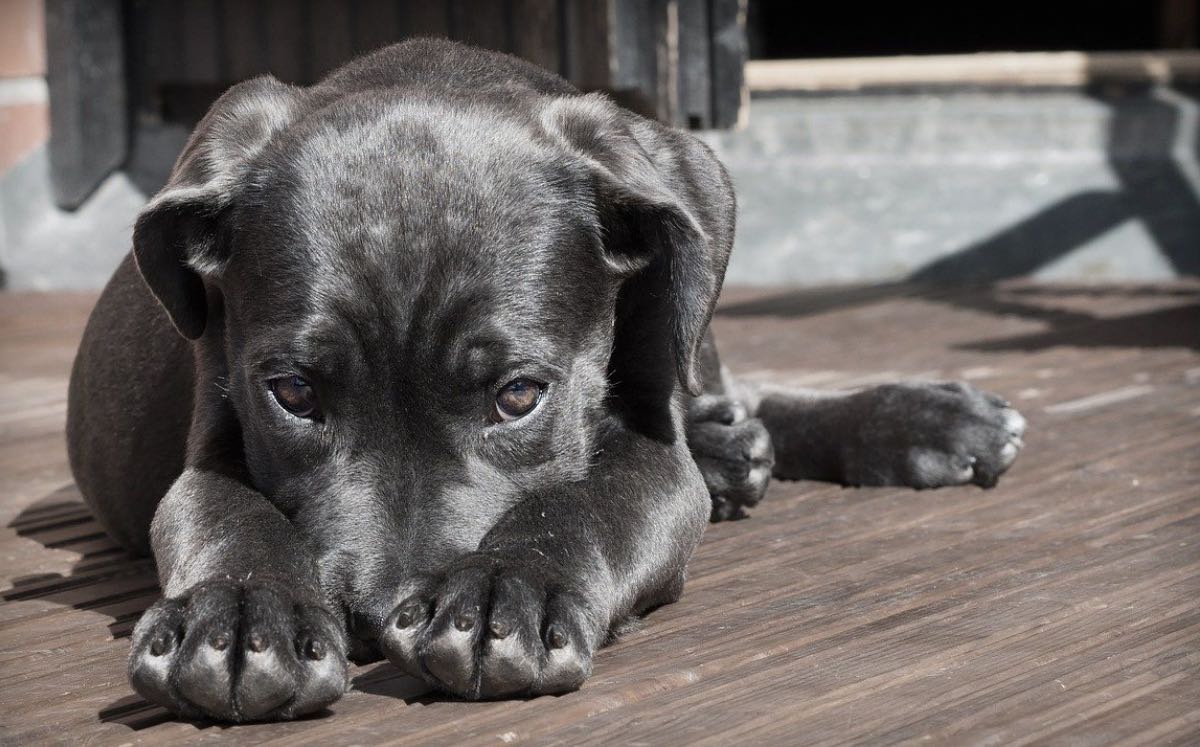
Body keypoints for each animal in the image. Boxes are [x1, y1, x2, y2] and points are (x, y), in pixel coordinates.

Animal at [63, 38, 1022, 725]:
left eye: (519, 395)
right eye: (293, 394)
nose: (374, 618)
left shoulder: (650, 451)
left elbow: (588, 500)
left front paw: (503, 589)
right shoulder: (213, 434)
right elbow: (224, 511)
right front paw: (236, 614)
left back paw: (918, 420)